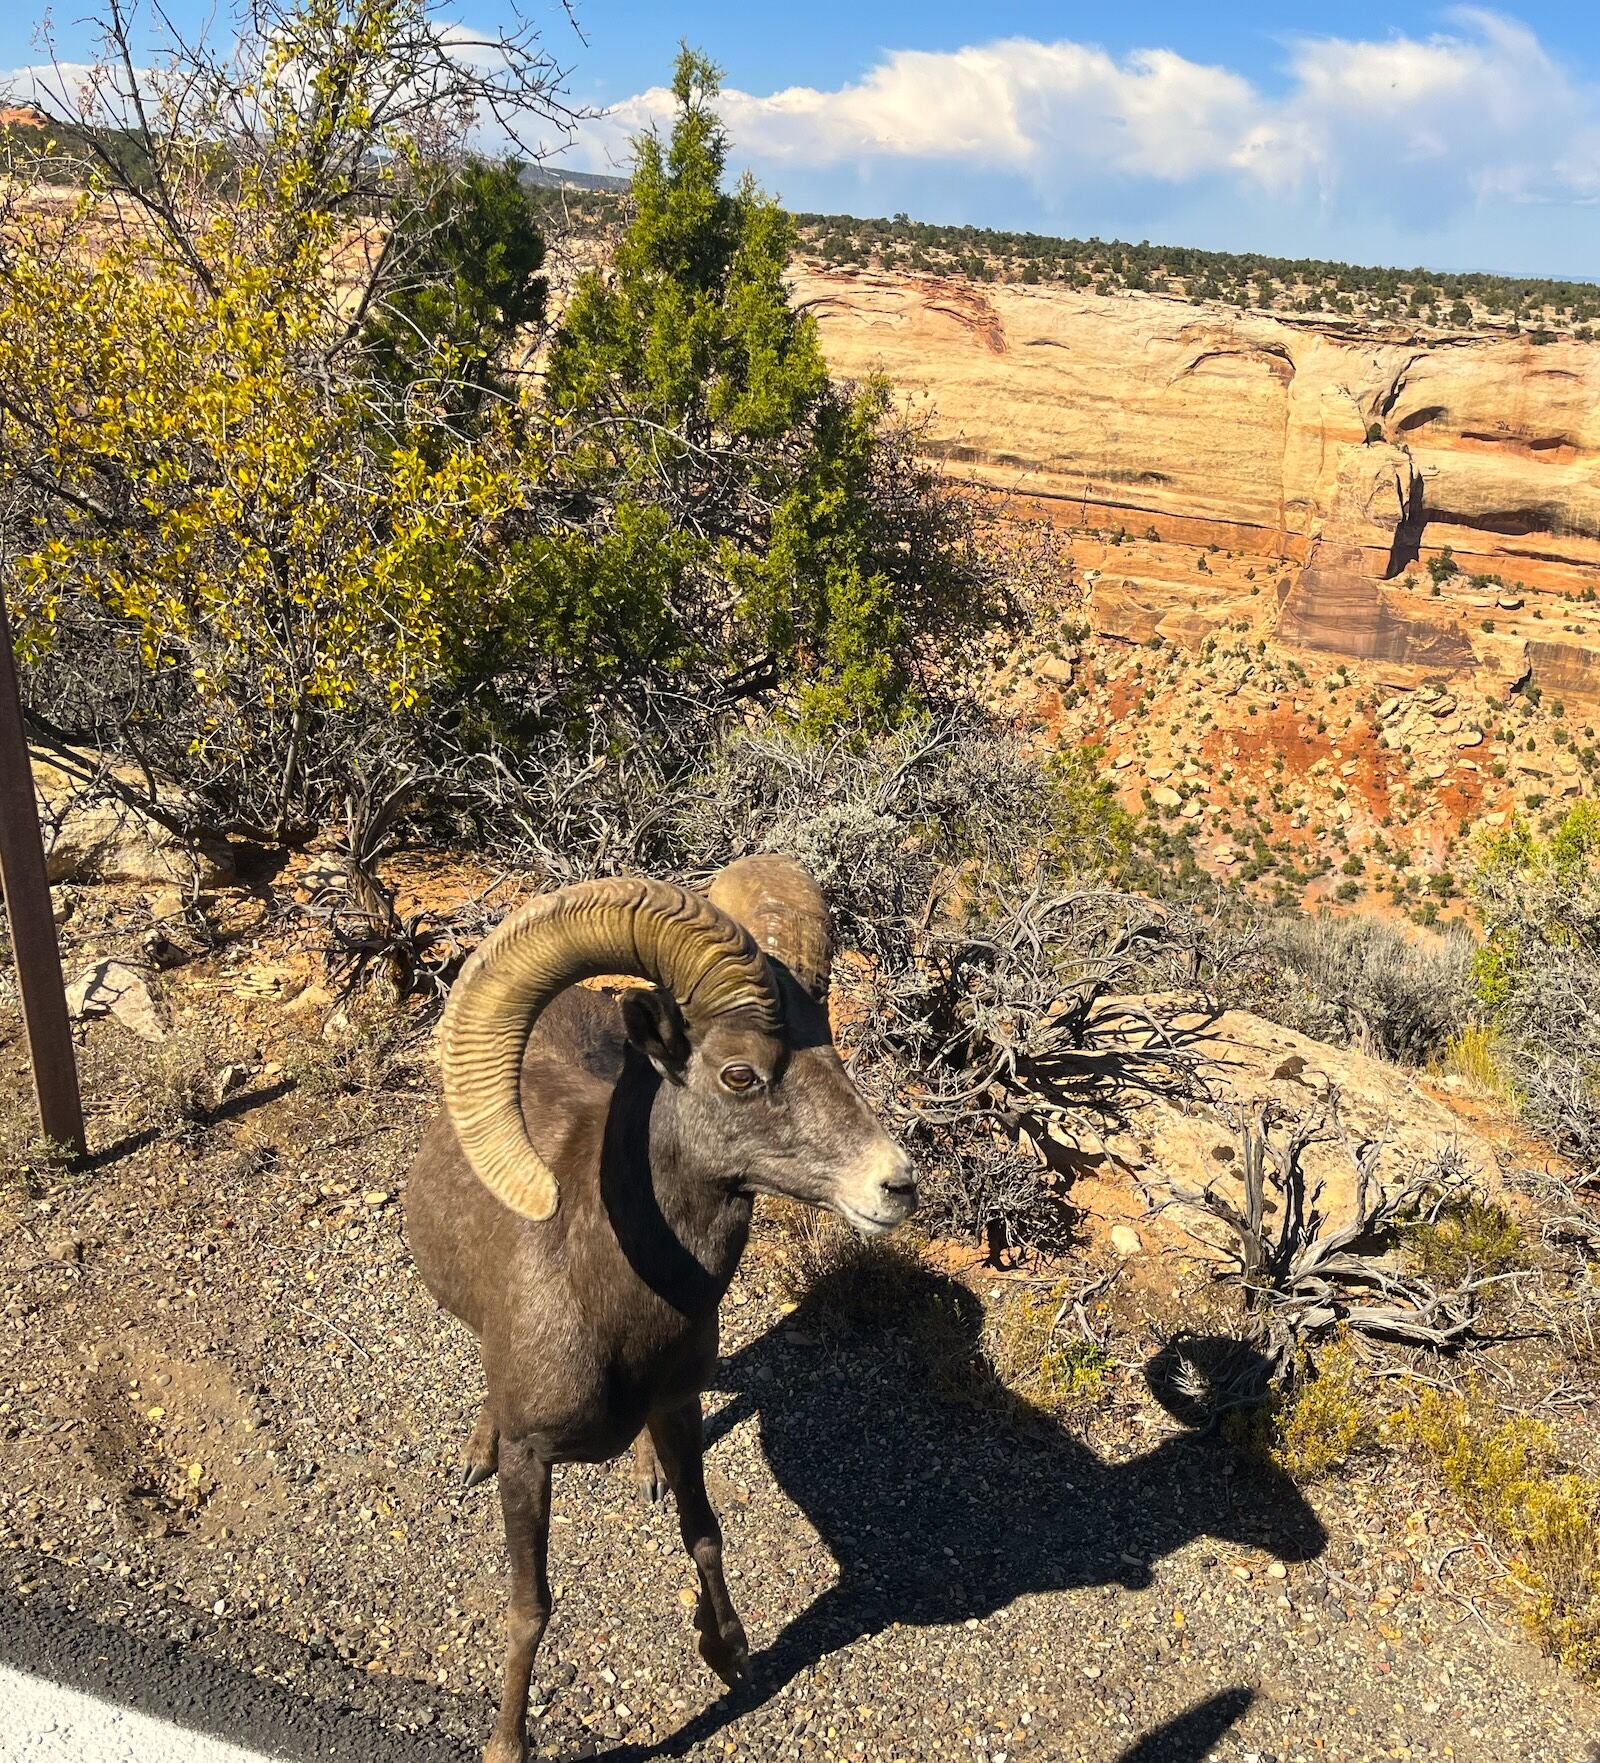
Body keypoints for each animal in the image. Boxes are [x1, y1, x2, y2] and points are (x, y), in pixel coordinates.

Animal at [407, 856, 916, 1763]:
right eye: (740, 1073)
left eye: (835, 1052)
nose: (896, 1185)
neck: (611, 1308)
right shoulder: (531, 1462)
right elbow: (531, 1608)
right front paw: (507, 1743)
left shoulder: (679, 1407)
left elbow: (704, 1532)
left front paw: (729, 1654)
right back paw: (474, 1450)